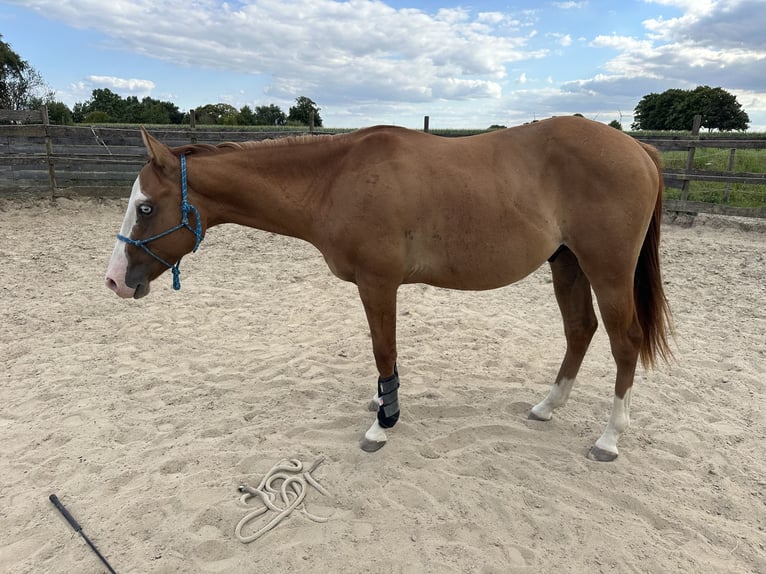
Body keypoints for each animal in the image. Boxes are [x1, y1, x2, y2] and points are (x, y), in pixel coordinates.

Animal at [105, 116, 672, 461]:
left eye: (146, 207)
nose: (114, 281)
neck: (335, 179)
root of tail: (638, 148)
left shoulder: (378, 285)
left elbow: (384, 352)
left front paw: (384, 420)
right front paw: (382, 406)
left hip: (607, 271)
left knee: (624, 343)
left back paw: (609, 438)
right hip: (567, 265)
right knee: (580, 330)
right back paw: (547, 407)